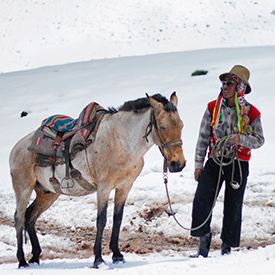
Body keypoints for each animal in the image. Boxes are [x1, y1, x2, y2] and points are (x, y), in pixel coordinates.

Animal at [9, 91, 185, 268]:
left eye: (181, 125)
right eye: (162, 126)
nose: (178, 164)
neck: (121, 141)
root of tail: (17, 147)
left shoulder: (124, 186)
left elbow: (117, 219)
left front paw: (117, 255)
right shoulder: (104, 187)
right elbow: (101, 220)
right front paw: (98, 259)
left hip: (48, 193)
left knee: (30, 217)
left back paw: (35, 257)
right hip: (23, 188)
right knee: (19, 218)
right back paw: (22, 261)